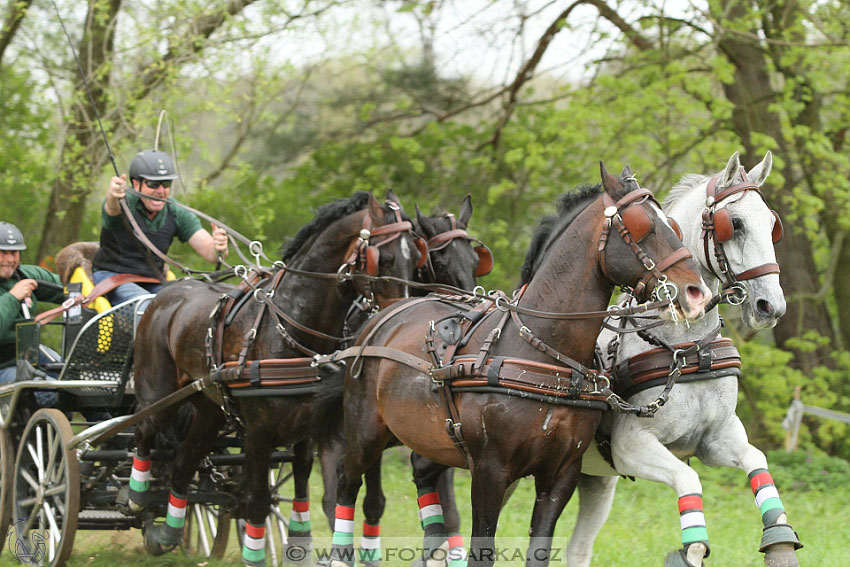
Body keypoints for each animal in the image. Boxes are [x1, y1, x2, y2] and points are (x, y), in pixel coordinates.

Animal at [127, 192, 424, 567]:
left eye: (416, 258)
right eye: (383, 258)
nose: (400, 316)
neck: (290, 324)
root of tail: (165, 295)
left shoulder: (306, 433)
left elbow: (300, 490)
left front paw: (299, 543)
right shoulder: (258, 434)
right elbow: (258, 503)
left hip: (209, 411)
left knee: (182, 463)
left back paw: (166, 532)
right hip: (160, 396)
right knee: (143, 430)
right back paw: (136, 497)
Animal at [328, 165, 712, 567]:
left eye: (671, 225)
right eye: (643, 226)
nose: (697, 292)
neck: (546, 355)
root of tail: (381, 317)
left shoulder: (561, 474)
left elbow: (538, 550)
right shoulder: (490, 471)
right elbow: (483, 549)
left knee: (422, 478)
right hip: (365, 434)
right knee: (347, 485)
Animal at [568, 151, 800, 567]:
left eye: (772, 224)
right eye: (734, 224)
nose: (770, 306)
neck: (688, 350)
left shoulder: (716, 439)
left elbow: (757, 460)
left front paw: (780, 542)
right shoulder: (631, 447)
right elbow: (688, 482)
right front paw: (690, 550)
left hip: (594, 480)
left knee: (577, 550)